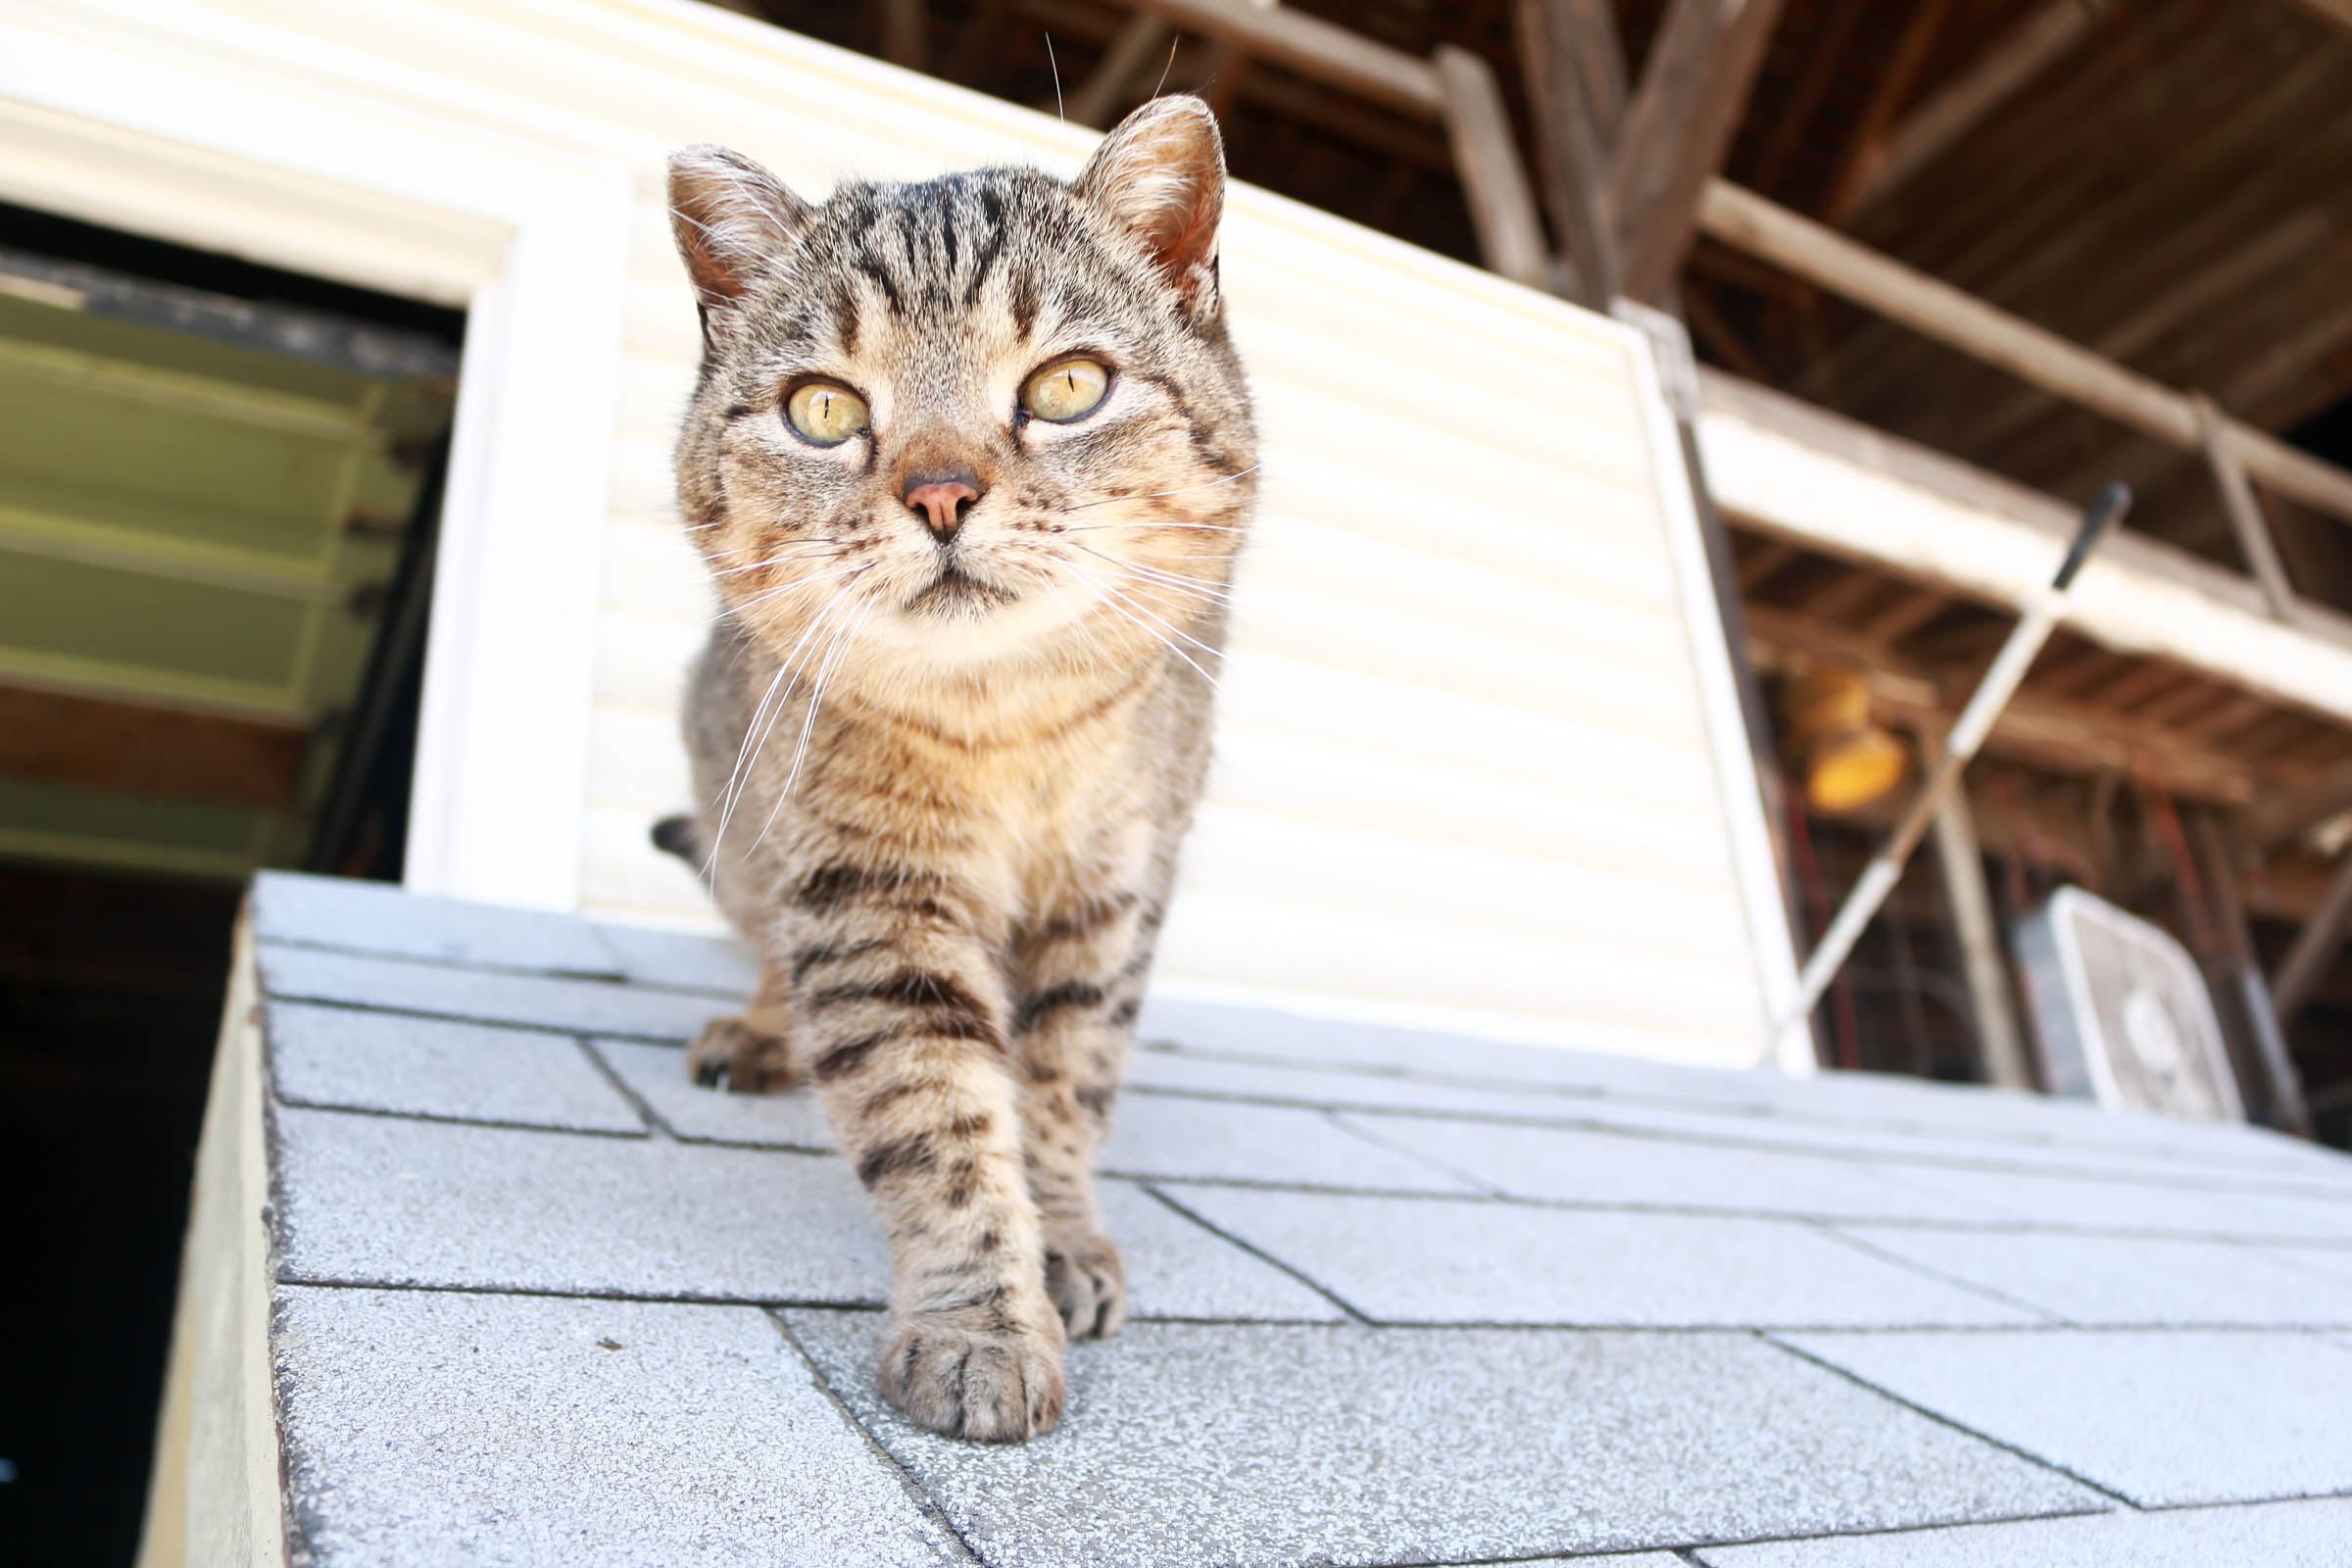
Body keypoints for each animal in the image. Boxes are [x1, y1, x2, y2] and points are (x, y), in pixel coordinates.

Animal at [654, 98, 1260, 1439]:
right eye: (824, 409)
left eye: (1068, 386)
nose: (940, 493)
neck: (1013, 732)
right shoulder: (868, 898)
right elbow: (936, 1118)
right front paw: (983, 1320)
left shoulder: (1114, 899)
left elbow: (1062, 1090)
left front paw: (1064, 1240)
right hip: (742, 826)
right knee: (766, 944)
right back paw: (758, 1032)